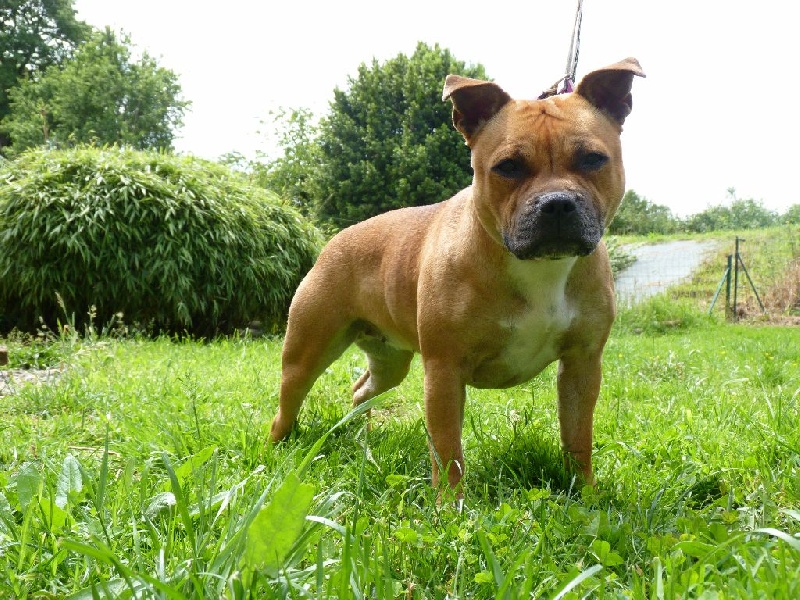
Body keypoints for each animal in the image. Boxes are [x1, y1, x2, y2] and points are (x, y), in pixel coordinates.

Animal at [272, 58, 648, 494]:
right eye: (508, 167)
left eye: (592, 159)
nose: (556, 203)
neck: (540, 267)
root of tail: (334, 240)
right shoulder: (444, 372)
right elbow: (448, 448)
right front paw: (450, 505)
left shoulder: (581, 366)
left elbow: (577, 437)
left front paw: (585, 493)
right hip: (306, 351)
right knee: (288, 402)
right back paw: (276, 450)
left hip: (389, 361)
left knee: (362, 390)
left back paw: (361, 437)